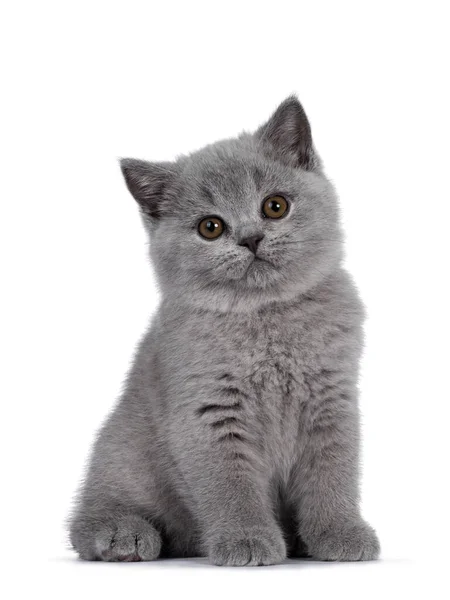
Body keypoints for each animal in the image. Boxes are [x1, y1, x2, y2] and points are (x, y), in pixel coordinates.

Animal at [69, 96, 380, 564]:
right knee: (87, 519)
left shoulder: (332, 399)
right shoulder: (209, 410)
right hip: (123, 455)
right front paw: (246, 539)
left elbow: (333, 473)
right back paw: (124, 534)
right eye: (210, 227)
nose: (250, 238)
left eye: (275, 206)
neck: (265, 317)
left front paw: (340, 532)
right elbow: (230, 485)